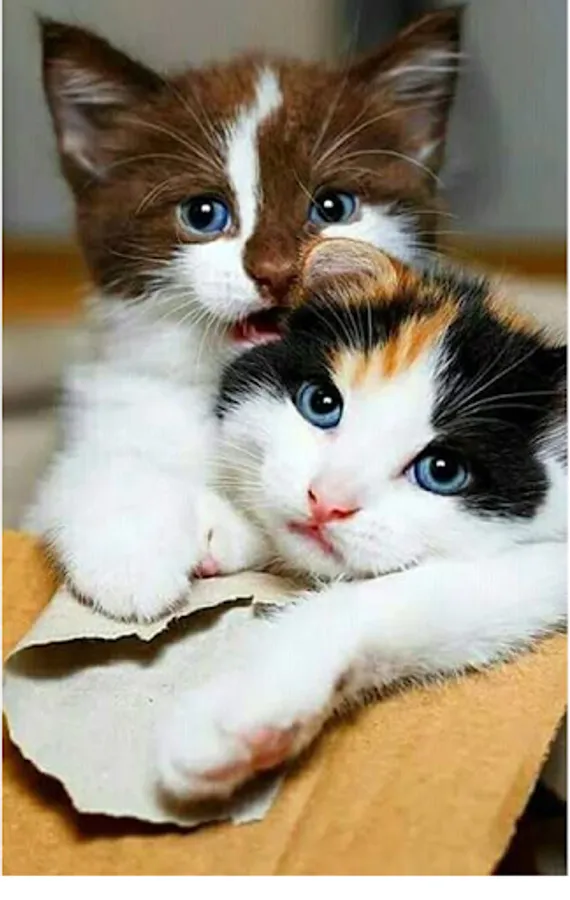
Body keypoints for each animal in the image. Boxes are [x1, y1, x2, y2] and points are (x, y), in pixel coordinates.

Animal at [27, 10, 462, 621]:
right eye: (203, 212)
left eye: (333, 207)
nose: (276, 271)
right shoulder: (112, 394)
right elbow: (86, 474)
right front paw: (130, 555)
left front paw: (224, 525)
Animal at [155, 237, 567, 801]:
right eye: (321, 403)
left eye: (442, 471)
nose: (327, 500)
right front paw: (217, 523)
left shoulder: (546, 566)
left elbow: (395, 594)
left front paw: (245, 702)